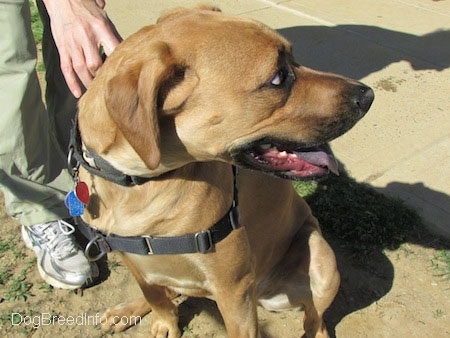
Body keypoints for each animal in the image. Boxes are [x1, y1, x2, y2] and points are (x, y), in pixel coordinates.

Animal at [76, 5, 372, 338]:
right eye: (278, 77)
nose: (368, 95)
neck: (139, 185)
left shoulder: (234, 289)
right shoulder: (135, 263)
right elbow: (156, 298)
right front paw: (163, 322)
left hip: (321, 260)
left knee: (315, 318)